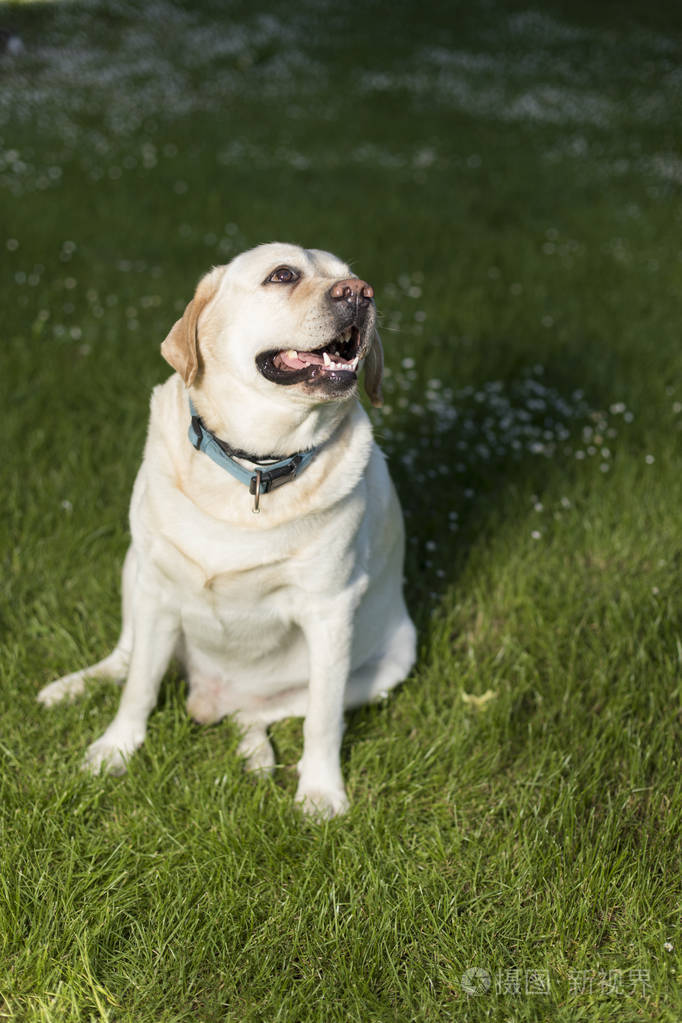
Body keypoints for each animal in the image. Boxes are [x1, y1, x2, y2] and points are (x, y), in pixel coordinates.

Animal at [41, 243, 421, 818]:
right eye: (282, 275)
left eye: (352, 277)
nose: (361, 293)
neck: (256, 465)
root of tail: (211, 696)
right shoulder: (158, 588)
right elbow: (140, 686)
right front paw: (115, 749)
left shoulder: (330, 611)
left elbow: (323, 718)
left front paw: (321, 791)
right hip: (133, 569)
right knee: (124, 659)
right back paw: (70, 687)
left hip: (392, 661)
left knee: (263, 714)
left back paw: (257, 753)